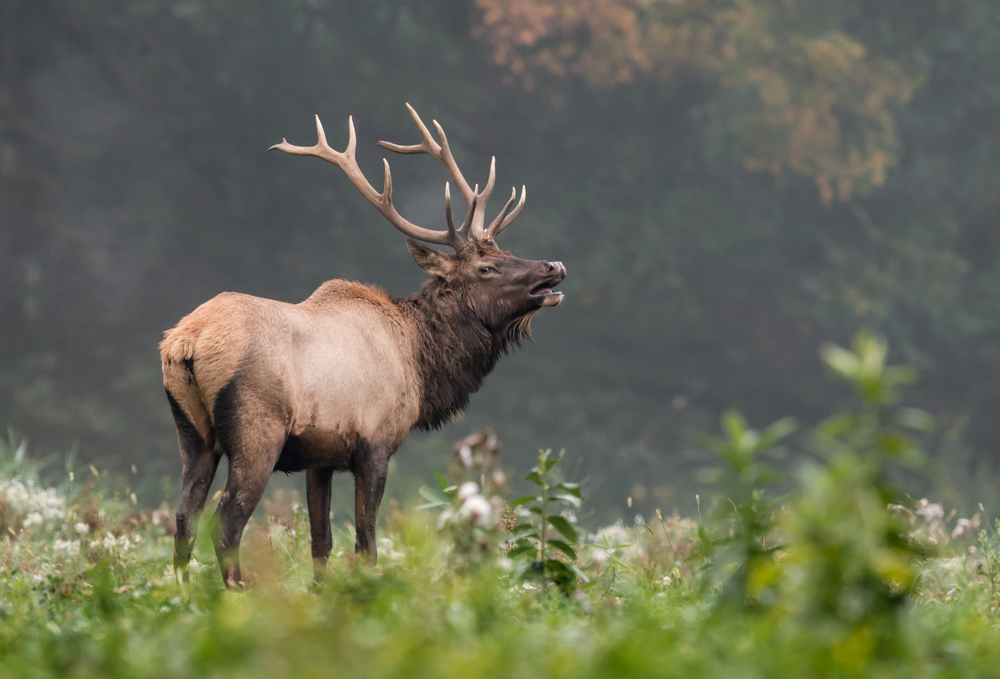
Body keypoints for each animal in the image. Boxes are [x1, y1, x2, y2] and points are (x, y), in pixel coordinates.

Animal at [160, 104, 566, 587]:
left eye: (505, 250)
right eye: (486, 267)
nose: (554, 265)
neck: (420, 362)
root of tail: (185, 342)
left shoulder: (319, 457)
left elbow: (321, 544)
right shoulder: (375, 442)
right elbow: (366, 541)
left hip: (193, 432)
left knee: (183, 517)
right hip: (256, 430)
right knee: (225, 524)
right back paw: (238, 592)